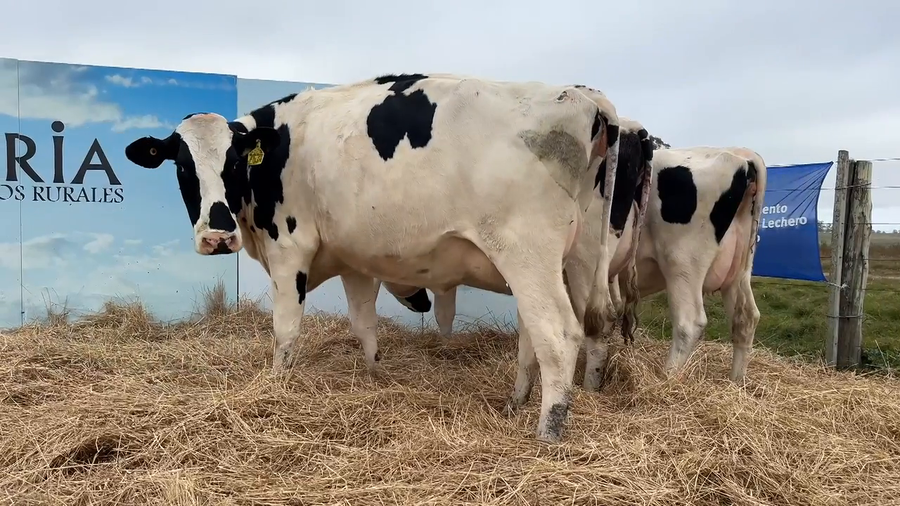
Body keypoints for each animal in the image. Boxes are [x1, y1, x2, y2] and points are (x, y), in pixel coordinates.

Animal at [122, 73, 621, 443]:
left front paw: (275, 386)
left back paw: (548, 432)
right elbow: (364, 325)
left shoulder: (289, 250)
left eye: (233, 163)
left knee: (558, 335)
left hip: (527, 253)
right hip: (577, 258)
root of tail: (587, 98)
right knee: (578, 328)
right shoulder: (355, 263)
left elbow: (285, 331)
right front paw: (376, 379)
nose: (217, 236)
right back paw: (530, 400)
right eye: (182, 165)